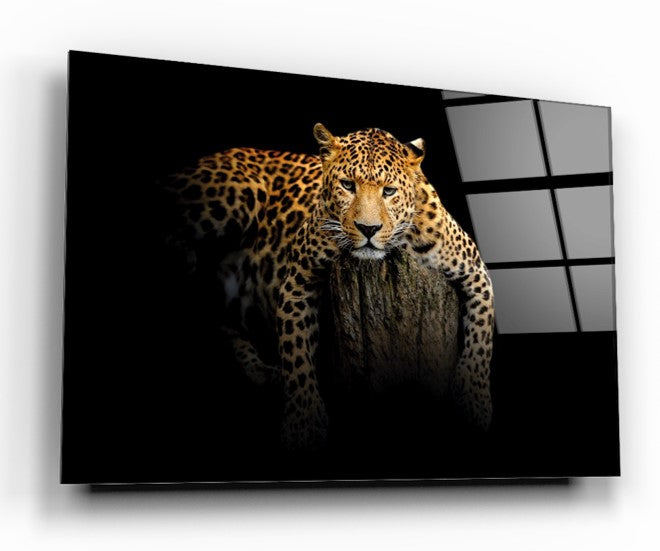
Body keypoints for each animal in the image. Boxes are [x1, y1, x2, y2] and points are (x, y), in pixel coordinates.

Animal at [165, 123, 495, 452]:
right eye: (347, 185)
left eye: (389, 191)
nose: (368, 229)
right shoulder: (298, 279)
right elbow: (296, 353)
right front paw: (303, 421)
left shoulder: (476, 273)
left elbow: (480, 344)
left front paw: (475, 404)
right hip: (237, 192)